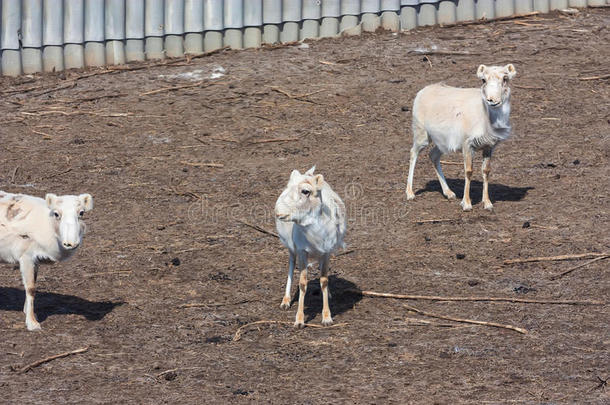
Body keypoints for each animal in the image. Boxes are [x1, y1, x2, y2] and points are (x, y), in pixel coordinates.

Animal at [0, 191, 93, 330]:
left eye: (81, 213)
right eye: (56, 214)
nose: (70, 243)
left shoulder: (36, 260)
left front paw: (29, 312)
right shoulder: (26, 256)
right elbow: (31, 288)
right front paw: (32, 323)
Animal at [274, 167, 344, 328]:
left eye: (305, 191)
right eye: (288, 187)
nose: (278, 211)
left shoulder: (326, 251)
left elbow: (324, 280)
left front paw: (327, 317)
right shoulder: (302, 251)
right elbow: (302, 283)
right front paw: (299, 320)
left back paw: (329, 294)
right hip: (291, 248)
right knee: (291, 265)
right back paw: (285, 301)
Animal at [406, 63, 516, 211]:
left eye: (505, 78)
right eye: (483, 80)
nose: (492, 100)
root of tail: (421, 92)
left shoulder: (489, 146)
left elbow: (486, 171)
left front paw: (487, 203)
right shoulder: (467, 144)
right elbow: (468, 171)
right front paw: (467, 204)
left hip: (443, 143)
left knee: (433, 155)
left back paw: (449, 193)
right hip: (421, 134)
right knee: (413, 152)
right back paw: (410, 193)